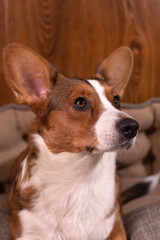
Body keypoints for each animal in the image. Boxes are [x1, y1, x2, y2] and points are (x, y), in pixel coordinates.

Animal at [2, 43, 139, 240]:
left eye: (116, 100)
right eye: (80, 102)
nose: (133, 127)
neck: (80, 176)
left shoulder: (115, 228)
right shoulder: (27, 232)